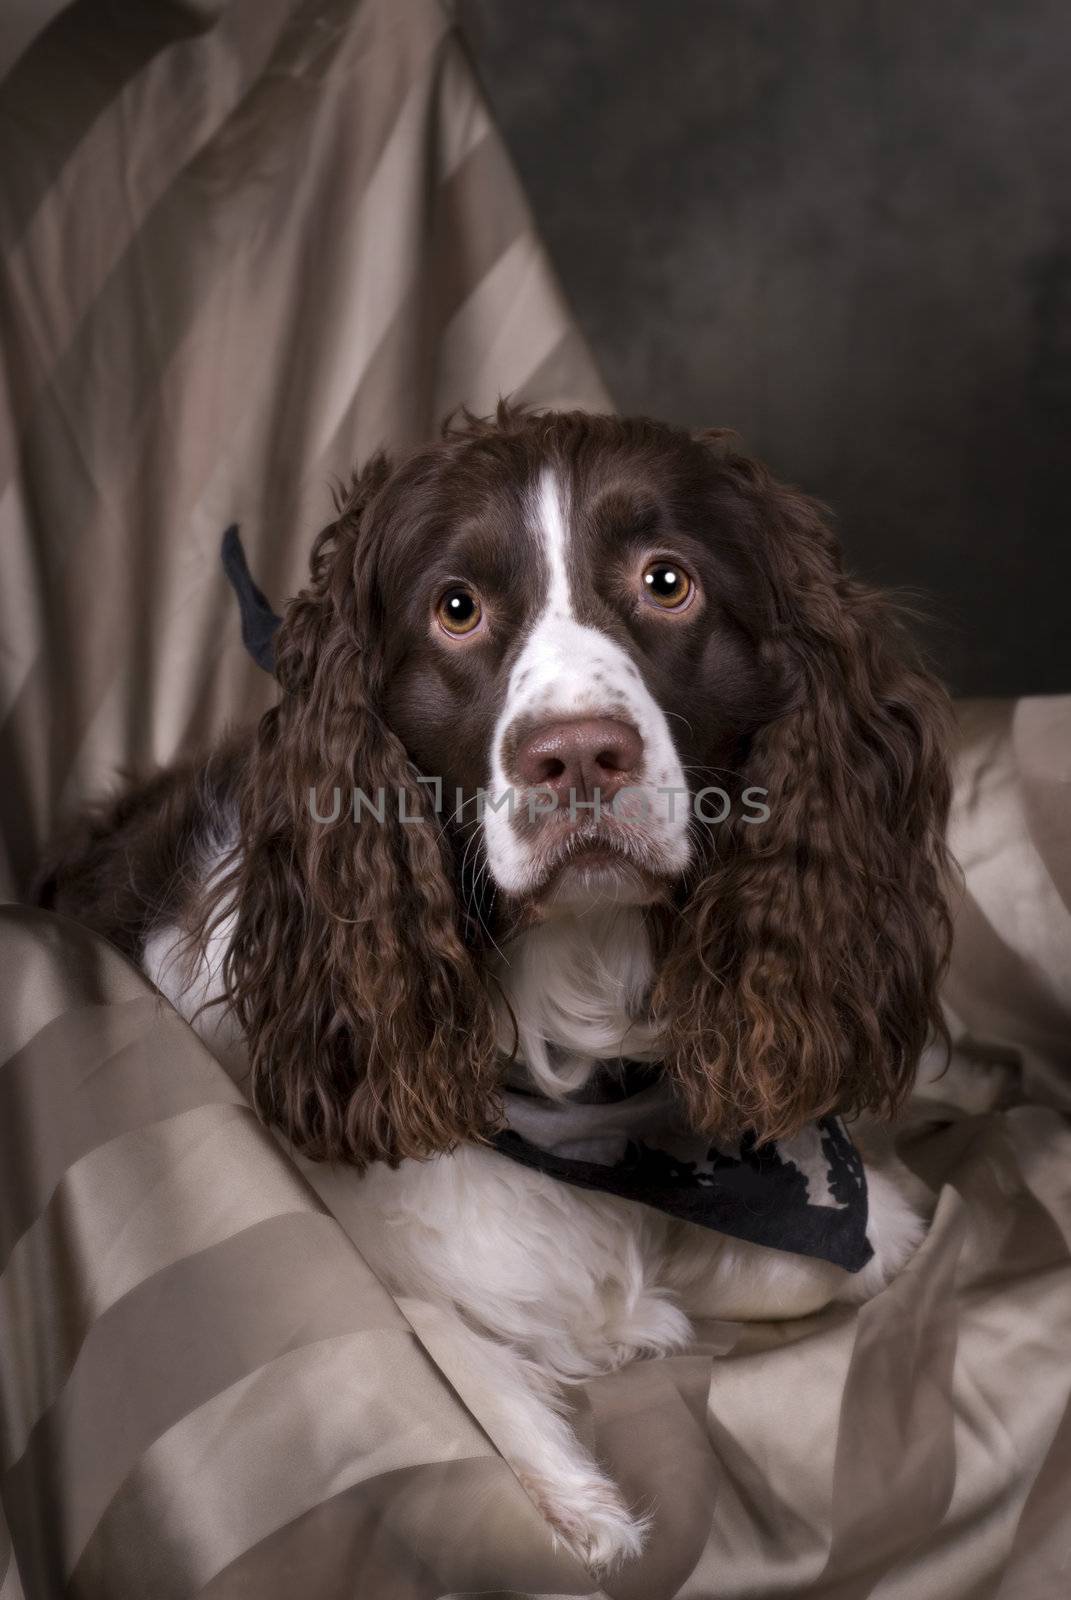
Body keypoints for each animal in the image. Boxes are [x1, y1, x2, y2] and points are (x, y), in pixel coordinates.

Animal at [37, 406, 954, 1568]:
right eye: (457, 608)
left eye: (666, 581)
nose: (579, 757)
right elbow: (411, 1328)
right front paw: (568, 1494)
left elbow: (842, 1245)